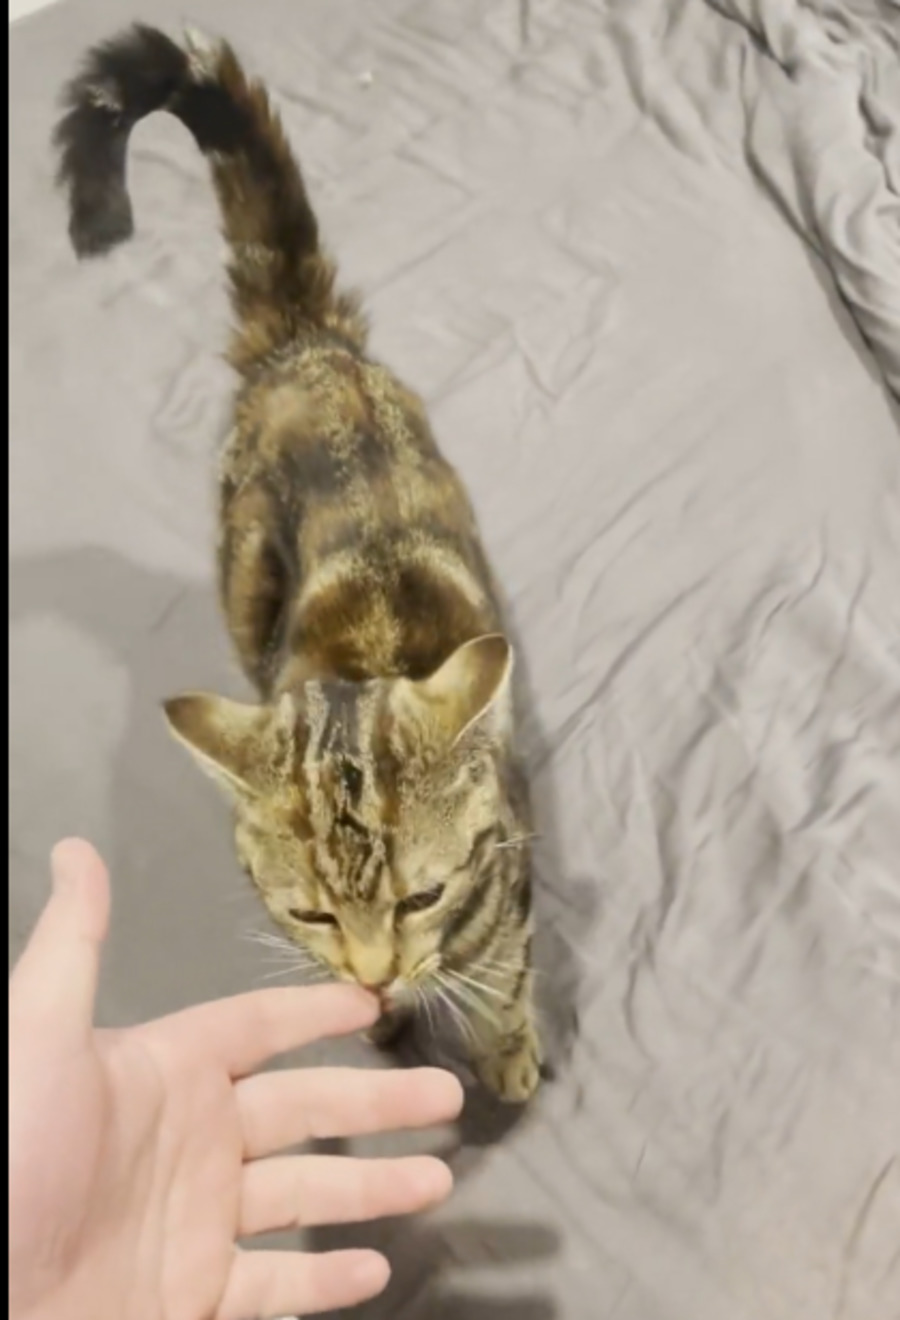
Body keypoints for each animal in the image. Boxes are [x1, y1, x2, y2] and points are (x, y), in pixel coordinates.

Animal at [54, 24, 540, 1102]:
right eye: (311, 912)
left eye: (423, 896)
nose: (374, 973)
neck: (368, 658)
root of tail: (305, 343)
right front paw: (388, 1019)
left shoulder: (512, 873)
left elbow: (503, 968)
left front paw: (508, 1051)